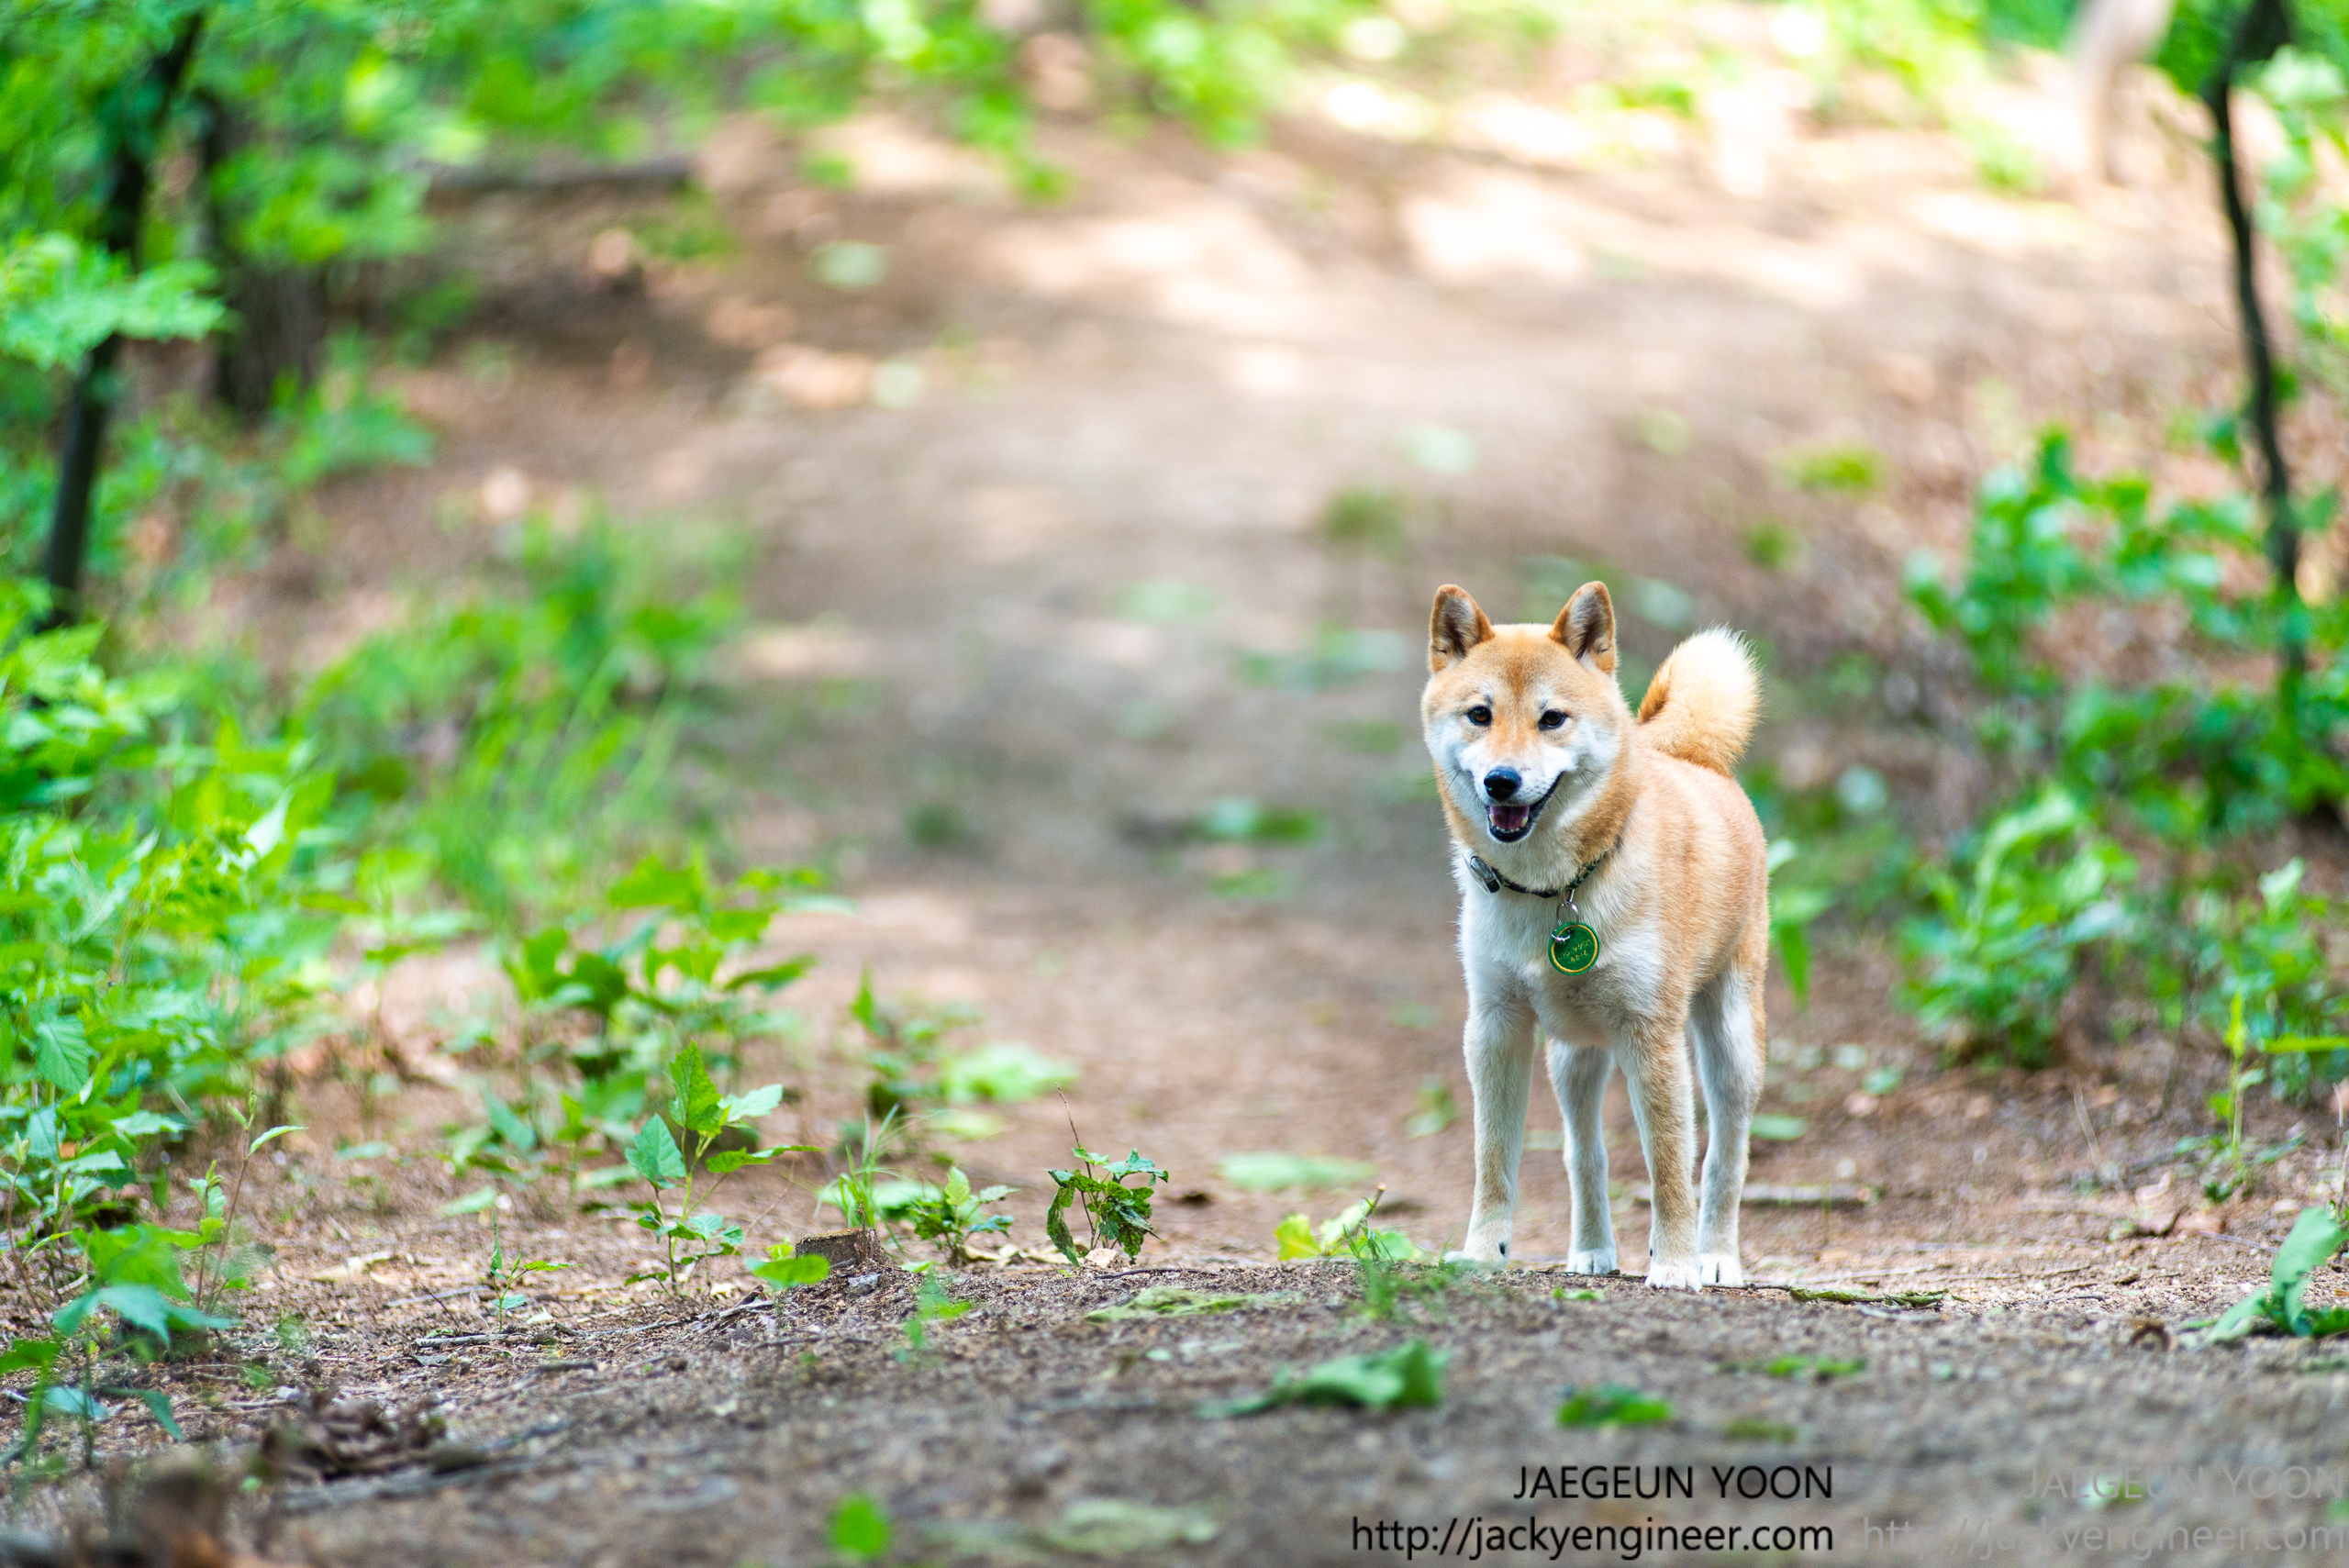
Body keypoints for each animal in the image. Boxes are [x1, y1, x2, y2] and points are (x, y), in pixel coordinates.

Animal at [1421, 580, 1768, 1289]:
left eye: (1552, 718)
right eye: (1479, 714)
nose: (1502, 780)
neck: (1553, 892)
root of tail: (1693, 758)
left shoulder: (1652, 1036)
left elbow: (1670, 1167)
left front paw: (1675, 1264)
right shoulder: (1495, 1027)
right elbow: (1493, 1159)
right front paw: (1483, 1251)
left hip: (1730, 1046)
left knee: (1725, 1155)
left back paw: (1717, 1255)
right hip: (1573, 1057)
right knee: (1586, 1154)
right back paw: (1592, 1251)